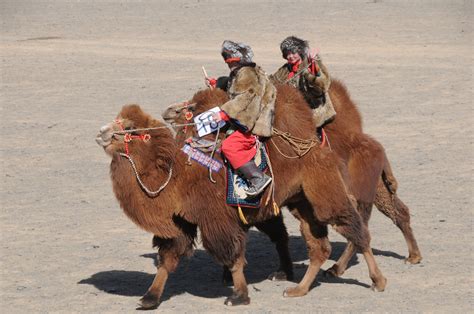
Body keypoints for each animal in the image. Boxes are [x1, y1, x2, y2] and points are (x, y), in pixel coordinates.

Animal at [95, 85, 386, 310]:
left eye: (131, 128)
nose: (101, 132)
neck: (176, 176)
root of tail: (317, 146)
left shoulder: (218, 218)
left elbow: (233, 257)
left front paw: (239, 295)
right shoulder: (182, 222)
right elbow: (167, 259)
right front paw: (150, 298)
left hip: (324, 191)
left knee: (354, 229)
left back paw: (377, 281)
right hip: (301, 203)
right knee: (319, 246)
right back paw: (298, 289)